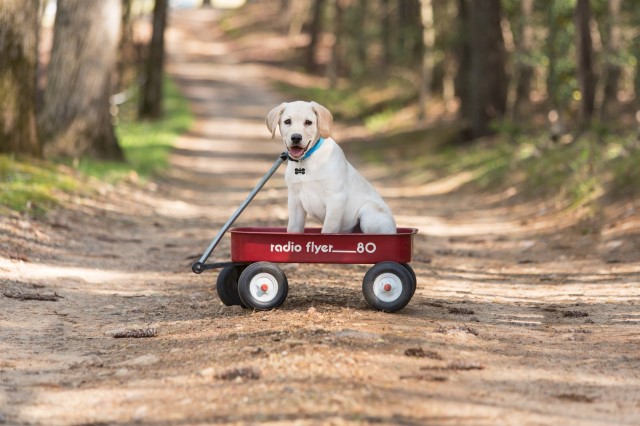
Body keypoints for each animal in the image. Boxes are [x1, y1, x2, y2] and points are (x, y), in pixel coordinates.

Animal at [264, 101, 396, 235]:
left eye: (308, 122)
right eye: (287, 121)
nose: (296, 137)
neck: (307, 160)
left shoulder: (335, 198)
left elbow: (328, 229)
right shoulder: (295, 200)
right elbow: (293, 229)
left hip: (369, 214)